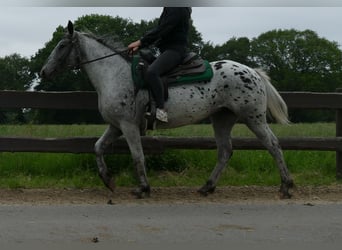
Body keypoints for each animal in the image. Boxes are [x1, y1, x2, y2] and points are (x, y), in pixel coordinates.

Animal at [40, 20, 294, 198]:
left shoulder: (128, 125)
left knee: (273, 145)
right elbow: (98, 147)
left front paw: (143, 188)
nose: (44, 71)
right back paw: (207, 187)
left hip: (254, 118)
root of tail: (253, 72)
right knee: (225, 151)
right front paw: (108, 180)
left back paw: (286, 187)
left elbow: (137, 155)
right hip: (222, 118)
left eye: (62, 45)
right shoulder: (116, 125)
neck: (114, 74)